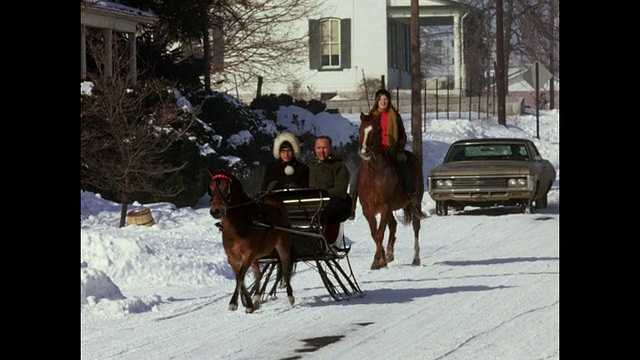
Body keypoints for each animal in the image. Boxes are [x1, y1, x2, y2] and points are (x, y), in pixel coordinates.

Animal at [209, 169, 362, 312]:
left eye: (227, 187)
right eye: (210, 187)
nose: (215, 211)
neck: (239, 226)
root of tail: (276, 199)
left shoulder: (249, 253)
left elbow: (241, 276)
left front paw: (235, 303)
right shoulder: (233, 257)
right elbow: (239, 277)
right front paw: (248, 302)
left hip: (282, 245)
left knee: (286, 265)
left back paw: (291, 296)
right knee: (259, 274)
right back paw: (257, 298)